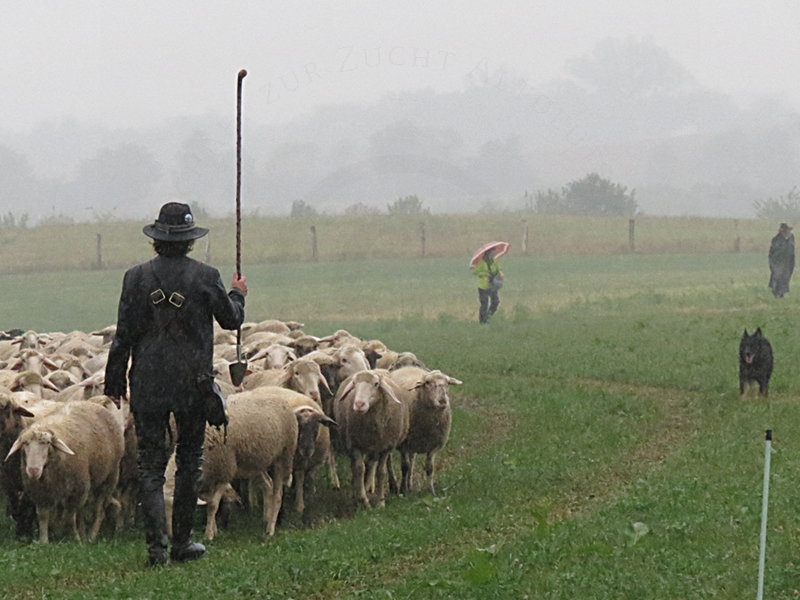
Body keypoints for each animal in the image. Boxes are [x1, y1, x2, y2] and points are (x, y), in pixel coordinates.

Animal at [5, 398, 125, 544]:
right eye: (25, 443)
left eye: (47, 443)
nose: (33, 470)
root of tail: (91, 402)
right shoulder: (40, 492)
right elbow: (43, 516)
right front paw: (44, 541)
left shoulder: (77, 492)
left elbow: (69, 517)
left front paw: (75, 540)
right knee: (81, 512)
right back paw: (81, 532)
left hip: (109, 478)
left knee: (99, 510)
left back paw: (91, 536)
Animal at [332, 370, 410, 506]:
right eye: (354, 383)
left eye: (376, 384)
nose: (359, 404)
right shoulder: (354, 445)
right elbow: (359, 469)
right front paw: (363, 501)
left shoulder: (386, 447)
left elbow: (381, 472)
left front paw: (380, 502)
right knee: (360, 467)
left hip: (375, 447)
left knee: (370, 464)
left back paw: (368, 486)